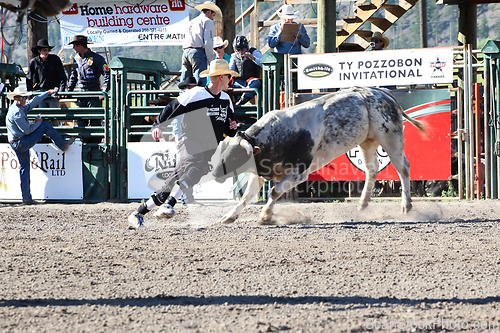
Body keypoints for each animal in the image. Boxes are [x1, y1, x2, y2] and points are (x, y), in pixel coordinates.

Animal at [212, 87, 426, 224]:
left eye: (234, 156)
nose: (214, 173)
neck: (277, 134)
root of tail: (383, 93)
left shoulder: (299, 172)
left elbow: (274, 191)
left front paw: (265, 216)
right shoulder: (261, 171)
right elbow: (247, 196)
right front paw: (229, 216)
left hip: (390, 136)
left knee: (403, 168)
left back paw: (406, 206)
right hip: (368, 141)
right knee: (372, 169)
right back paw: (363, 203)